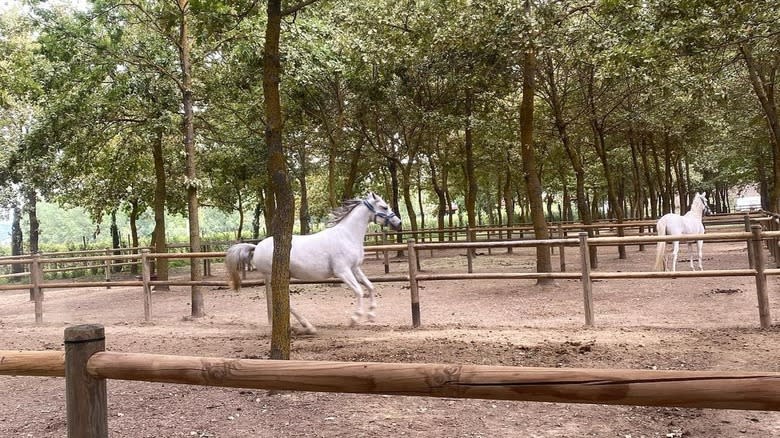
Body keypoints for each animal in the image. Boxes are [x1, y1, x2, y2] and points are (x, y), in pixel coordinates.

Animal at [222, 191, 400, 332]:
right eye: (384, 207)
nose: (399, 223)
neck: (347, 235)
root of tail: (256, 247)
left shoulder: (355, 268)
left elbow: (370, 286)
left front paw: (371, 315)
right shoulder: (342, 271)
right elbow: (359, 291)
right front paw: (354, 319)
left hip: (279, 277)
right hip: (273, 277)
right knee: (282, 302)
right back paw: (307, 326)